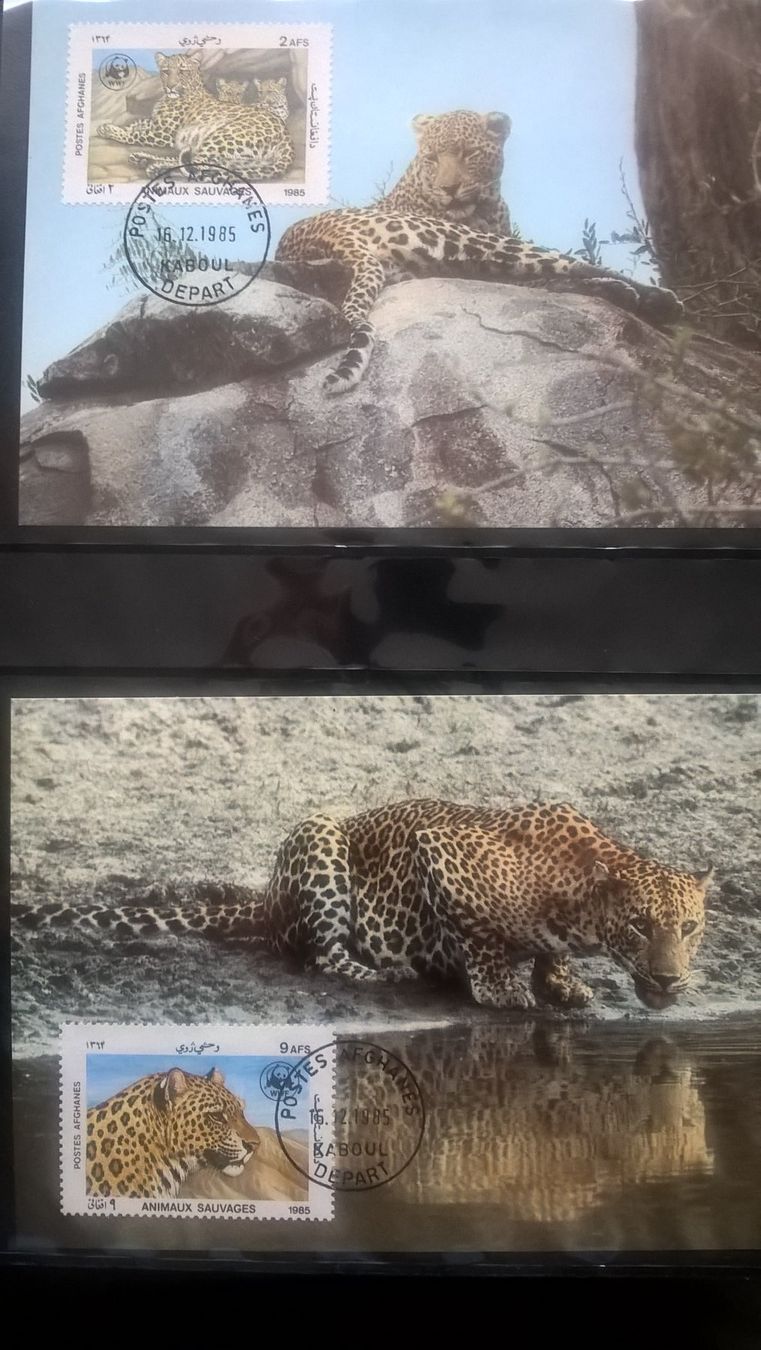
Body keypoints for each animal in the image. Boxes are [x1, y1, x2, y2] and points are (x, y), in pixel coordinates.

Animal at [15, 800, 713, 1013]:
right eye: (639, 926)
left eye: (690, 927)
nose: (671, 979)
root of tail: (266, 899)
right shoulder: (441, 852)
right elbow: (481, 940)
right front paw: (500, 988)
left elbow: (550, 958)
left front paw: (562, 982)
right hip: (320, 835)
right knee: (321, 955)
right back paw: (387, 971)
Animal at [97, 49, 294, 181]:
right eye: (166, 71)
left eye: (182, 71)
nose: (171, 86)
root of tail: (287, 136)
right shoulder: (155, 123)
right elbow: (136, 124)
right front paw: (107, 127)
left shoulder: (163, 133)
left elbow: (134, 134)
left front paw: (110, 131)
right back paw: (142, 159)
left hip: (222, 137)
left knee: (197, 167)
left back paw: (154, 167)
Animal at [275, 108, 683, 393]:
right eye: (433, 158)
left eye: (469, 154)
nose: (449, 189)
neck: (486, 203)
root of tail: (327, 236)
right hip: (473, 243)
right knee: (566, 264)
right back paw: (658, 299)